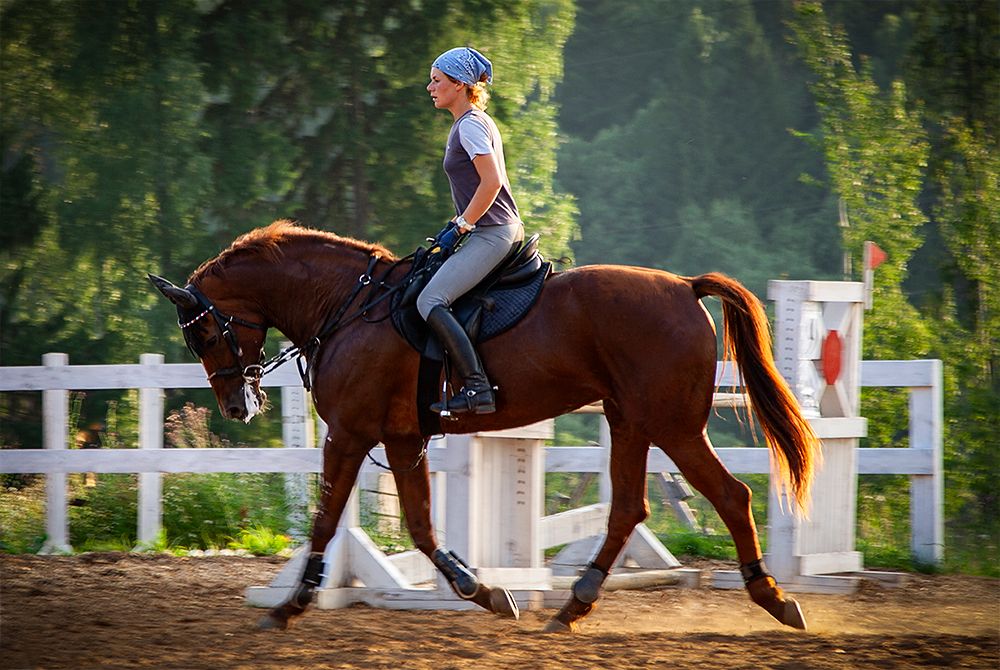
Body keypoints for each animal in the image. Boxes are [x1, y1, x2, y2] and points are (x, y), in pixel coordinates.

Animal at [150, 220, 820, 636]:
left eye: (204, 334)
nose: (237, 406)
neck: (347, 307)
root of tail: (684, 286)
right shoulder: (402, 438)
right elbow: (420, 528)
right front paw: (486, 592)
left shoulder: (350, 433)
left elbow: (324, 520)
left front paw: (290, 607)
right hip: (630, 420)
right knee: (629, 508)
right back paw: (573, 606)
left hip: (672, 425)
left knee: (730, 495)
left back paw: (773, 598)